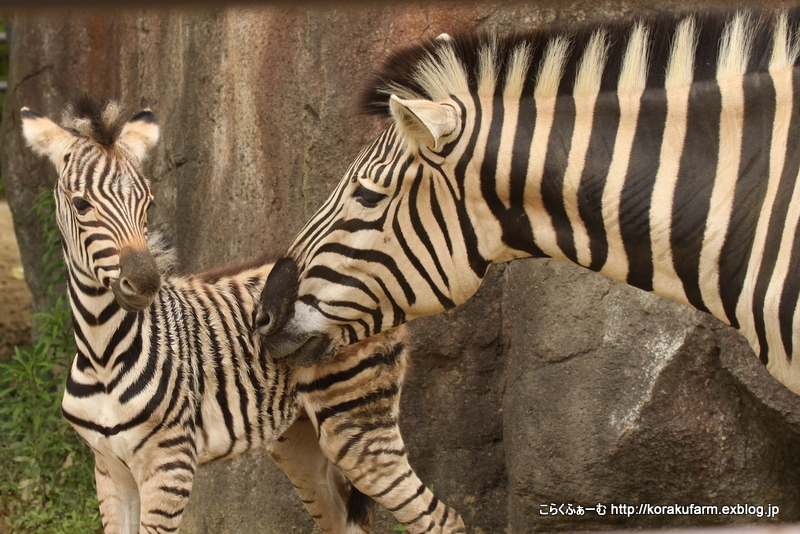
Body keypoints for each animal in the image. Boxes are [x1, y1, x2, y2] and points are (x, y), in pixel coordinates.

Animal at [21, 98, 466, 534]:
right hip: (300, 442)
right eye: (81, 204)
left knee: (441, 519)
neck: (102, 353)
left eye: (147, 203)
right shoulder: (109, 469)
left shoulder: (169, 464)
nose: (145, 283)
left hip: (356, 427)